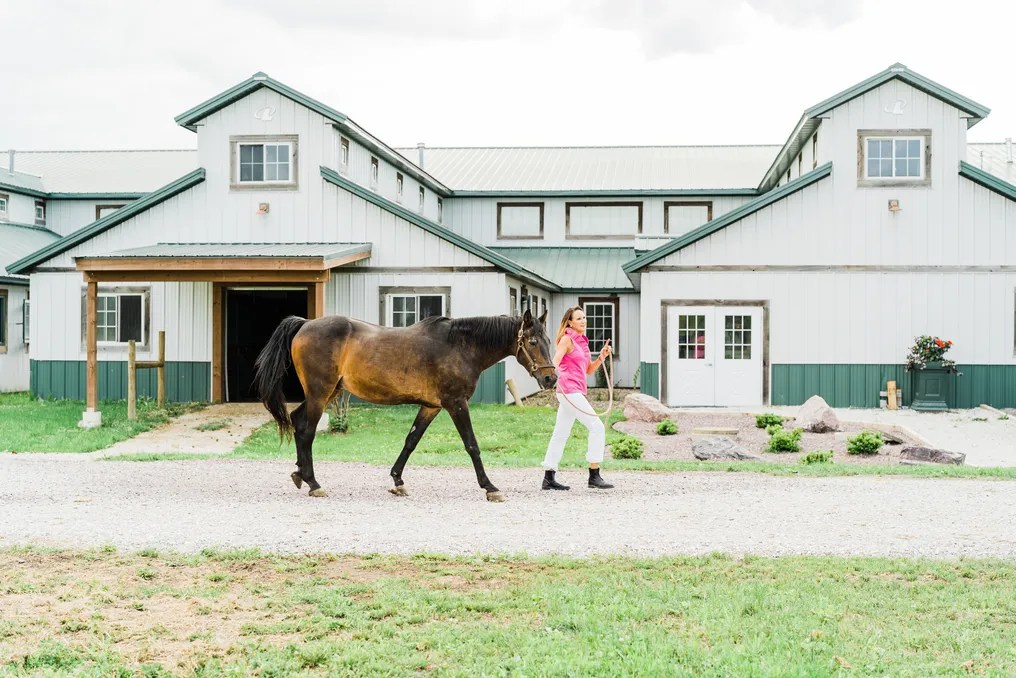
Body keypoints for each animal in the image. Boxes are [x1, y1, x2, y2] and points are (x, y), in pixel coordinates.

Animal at [253, 309, 558, 502]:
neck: (461, 346)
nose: (550, 378)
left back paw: (300, 474)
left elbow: (411, 441)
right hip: (321, 393)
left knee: (297, 421)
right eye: (532, 341)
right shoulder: (456, 403)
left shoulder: (432, 406)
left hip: (326, 393)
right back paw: (313, 483)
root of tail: (305, 323)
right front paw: (490, 487)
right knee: (306, 431)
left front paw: (397, 481)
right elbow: (472, 445)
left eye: (548, 340)